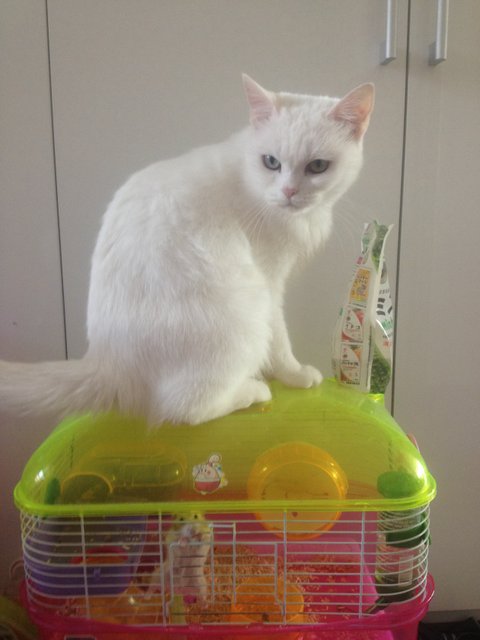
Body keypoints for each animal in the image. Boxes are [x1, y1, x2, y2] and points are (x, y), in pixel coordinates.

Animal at [0, 74, 374, 426]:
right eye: (270, 162)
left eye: (318, 166)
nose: (289, 192)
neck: (250, 183)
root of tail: (108, 363)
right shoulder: (271, 283)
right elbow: (280, 340)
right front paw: (295, 375)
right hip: (247, 313)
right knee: (186, 409)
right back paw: (252, 390)